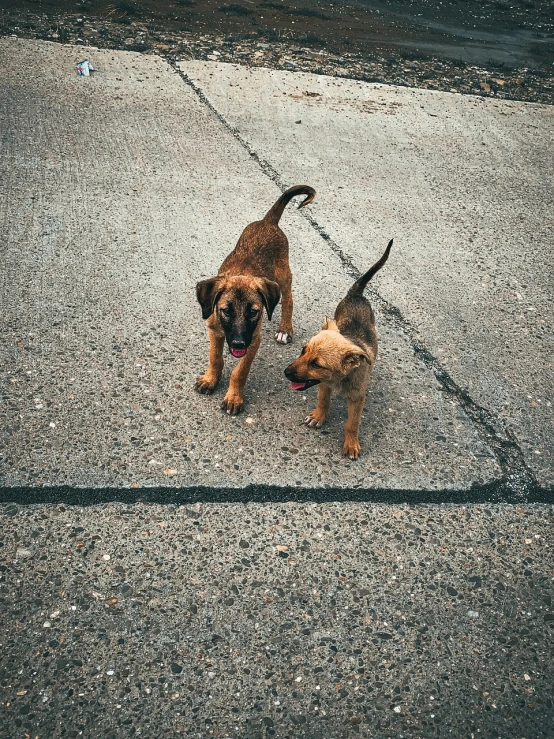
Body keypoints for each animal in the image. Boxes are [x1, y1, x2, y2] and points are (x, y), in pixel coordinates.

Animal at [194, 185, 314, 416]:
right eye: (226, 310)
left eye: (253, 312)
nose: (239, 343)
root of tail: (268, 222)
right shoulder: (213, 329)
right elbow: (215, 358)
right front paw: (210, 379)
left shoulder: (254, 339)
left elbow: (240, 371)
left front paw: (234, 397)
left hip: (283, 275)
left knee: (288, 300)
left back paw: (285, 329)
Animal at [284, 243, 392, 460]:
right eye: (302, 350)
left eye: (316, 364)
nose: (286, 373)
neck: (339, 380)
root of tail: (356, 294)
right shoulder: (324, 385)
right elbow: (323, 401)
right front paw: (319, 416)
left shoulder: (357, 398)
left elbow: (352, 423)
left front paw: (351, 443)